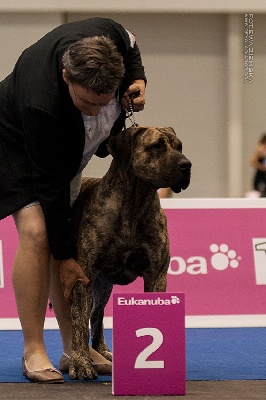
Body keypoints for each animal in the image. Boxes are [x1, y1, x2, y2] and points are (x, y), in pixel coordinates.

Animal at [70, 126, 191, 380]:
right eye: (157, 146)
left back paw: (103, 353)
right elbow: (77, 321)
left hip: (103, 285)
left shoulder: (156, 275)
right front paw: (81, 363)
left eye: (179, 146)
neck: (134, 203)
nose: (186, 164)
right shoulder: (82, 275)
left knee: (96, 315)